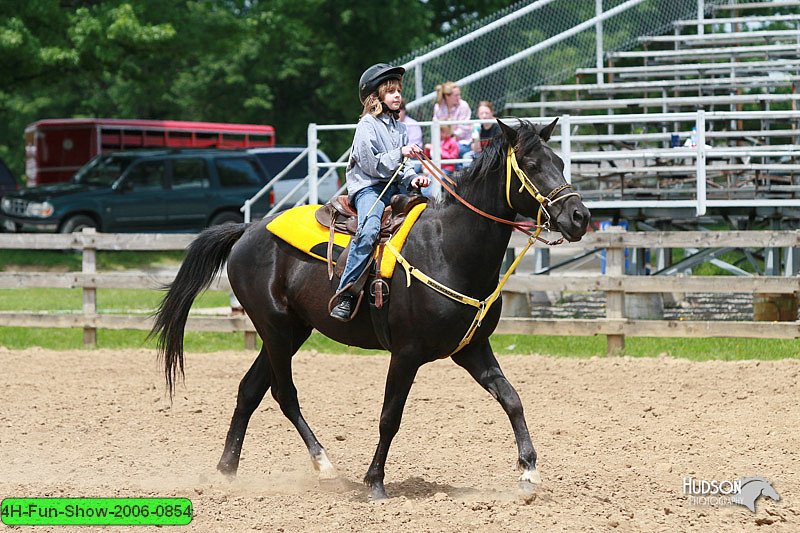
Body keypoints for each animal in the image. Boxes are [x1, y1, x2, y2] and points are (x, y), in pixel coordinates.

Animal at [152, 119, 588, 498]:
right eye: (532, 165)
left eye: (560, 161)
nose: (579, 216)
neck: (448, 247)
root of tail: (248, 229)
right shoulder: (406, 354)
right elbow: (389, 417)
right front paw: (375, 482)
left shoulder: (471, 349)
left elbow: (511, 398)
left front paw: (529, 471)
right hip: (274, 328)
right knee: (283, 393)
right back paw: (325, 465)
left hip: (291, 331)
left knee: (250, 390)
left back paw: (227, 470)